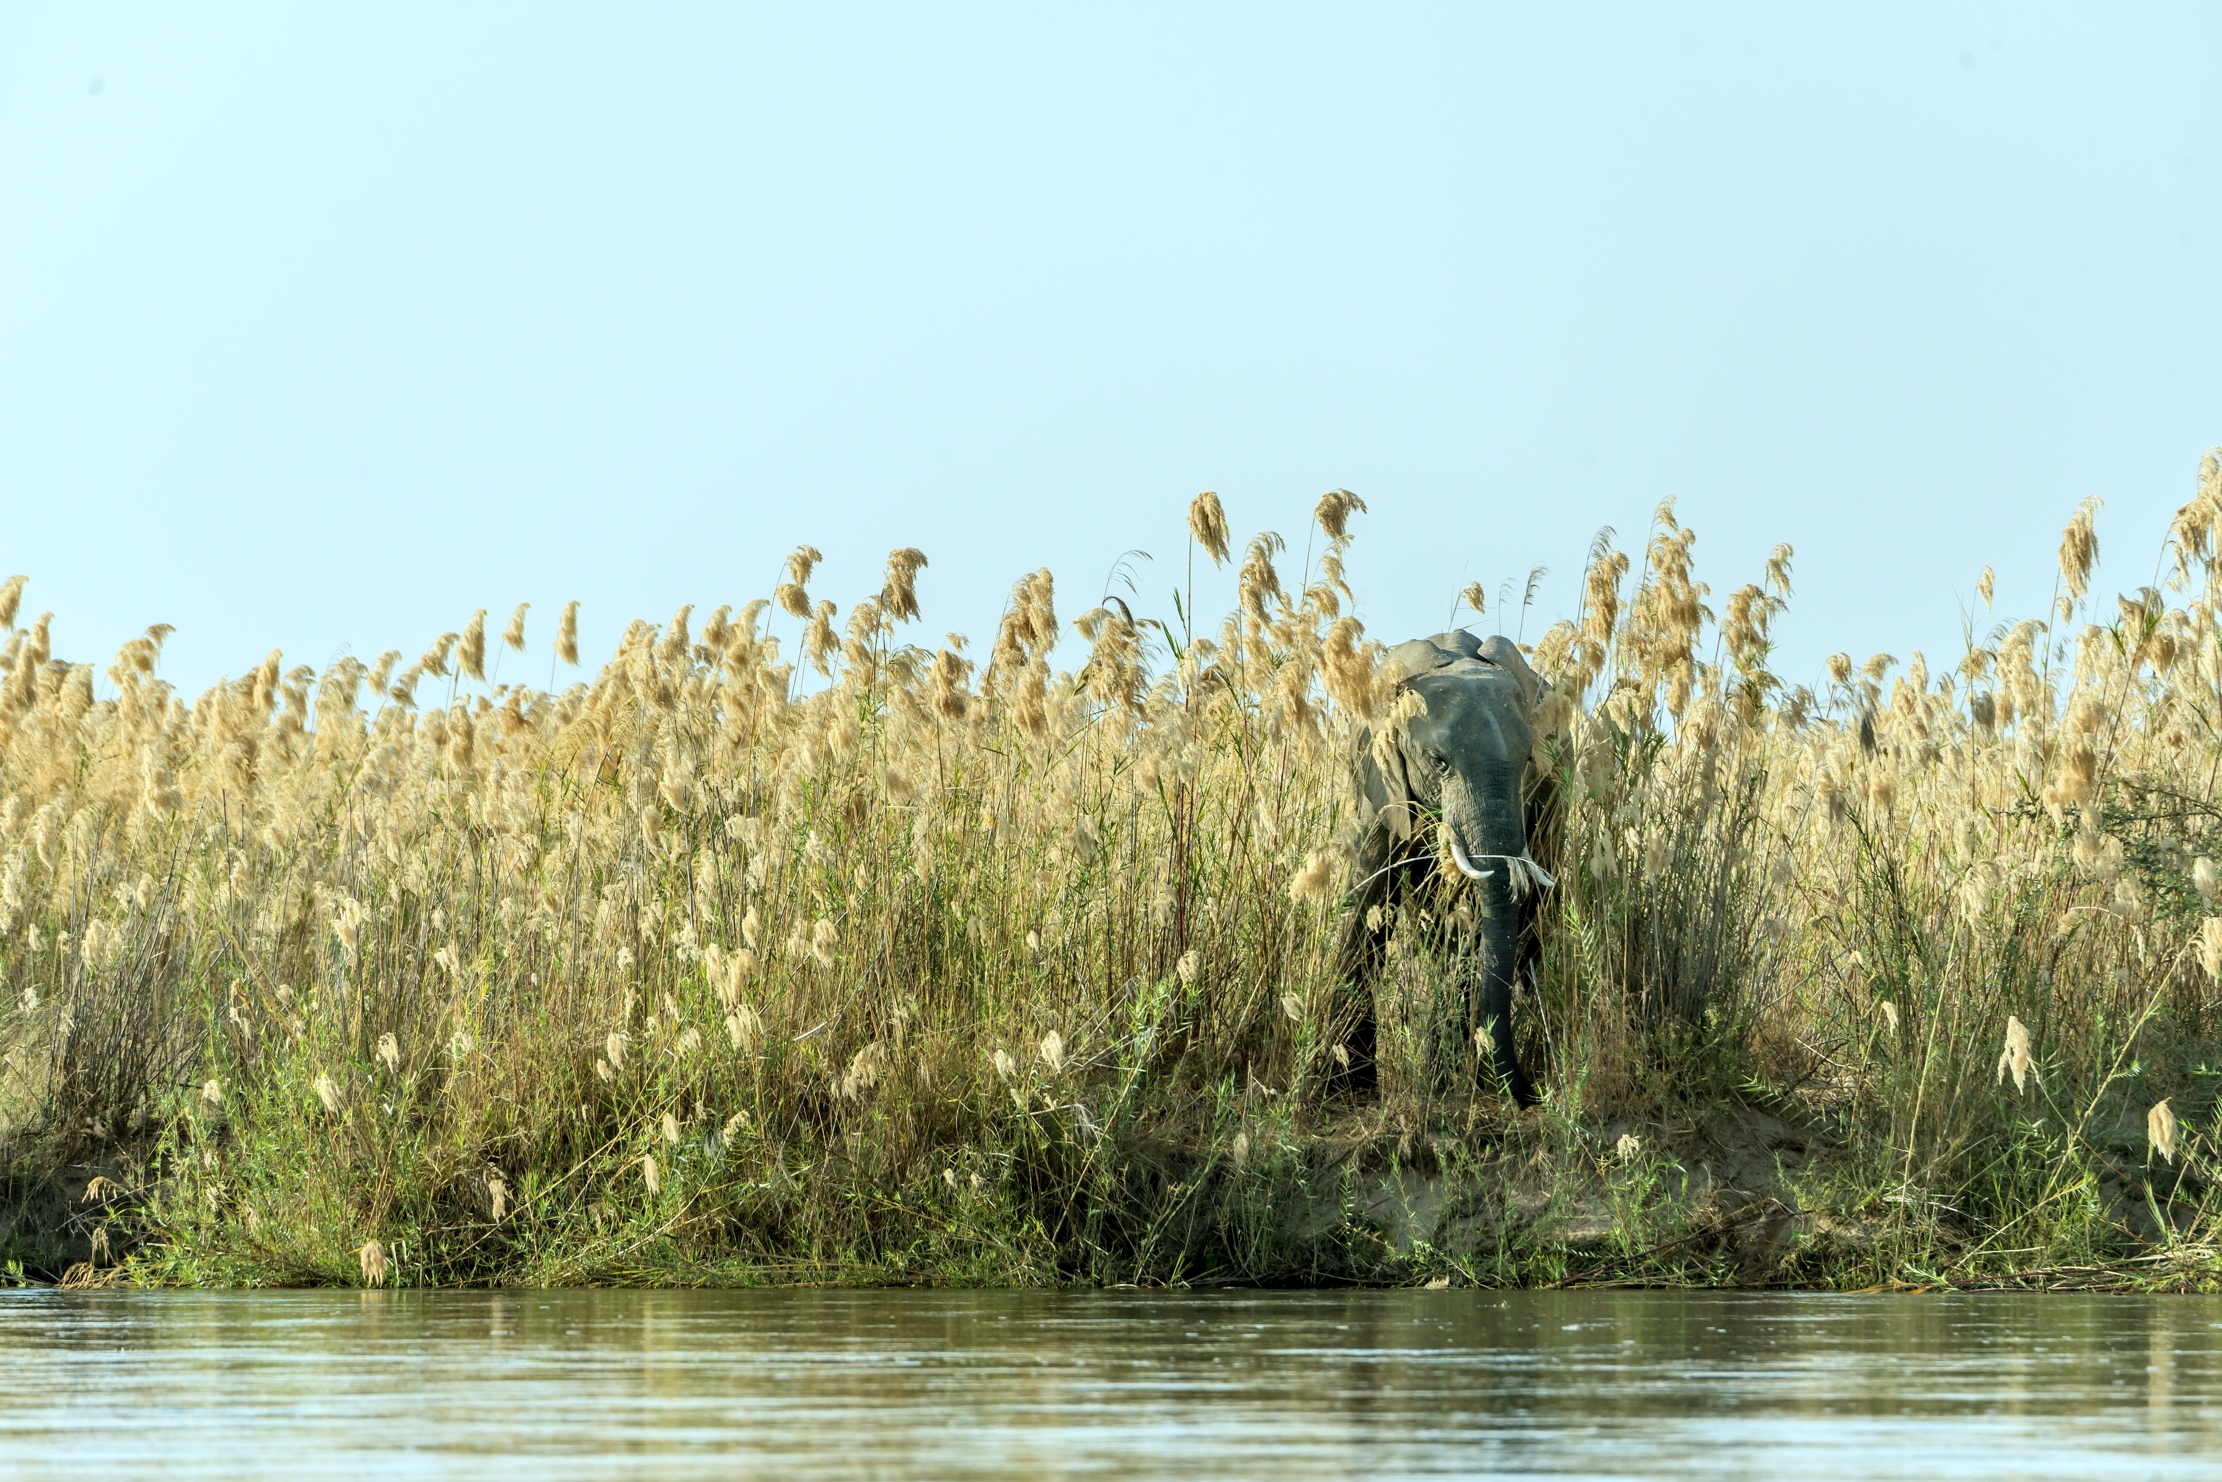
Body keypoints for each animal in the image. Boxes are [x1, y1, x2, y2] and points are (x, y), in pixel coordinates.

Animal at [1331, 630, 1560, 1106]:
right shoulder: (1379, 778)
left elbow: (1469, 927)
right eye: (1439, 762)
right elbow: (1366, 905)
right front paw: (1345, 1088)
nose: (1534, 1095)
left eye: (1529, 760)